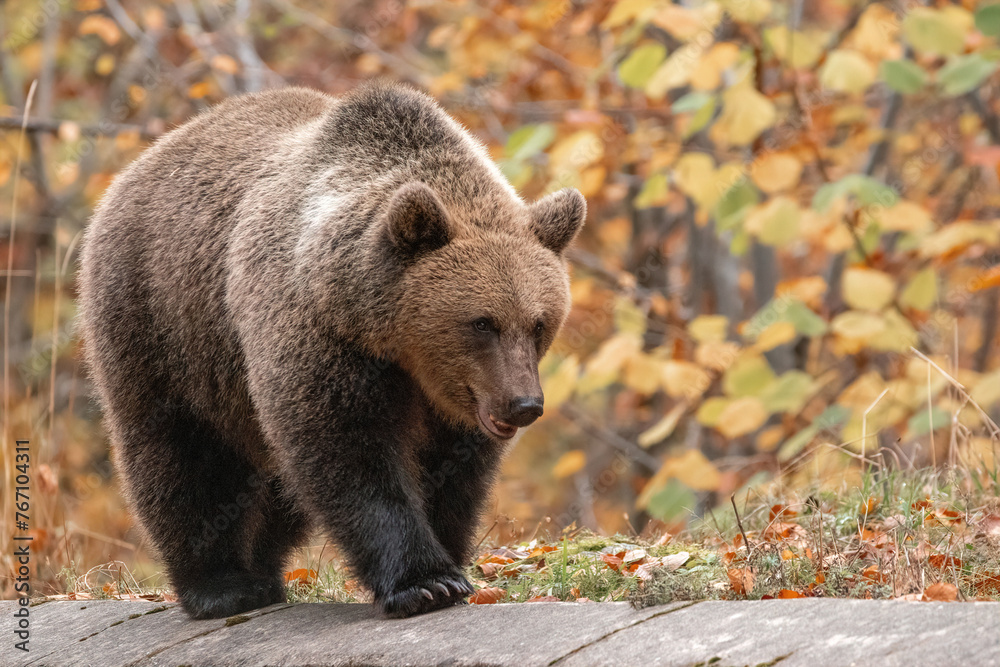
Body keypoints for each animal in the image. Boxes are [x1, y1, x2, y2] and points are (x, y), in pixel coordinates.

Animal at [77, 82, 585, 619]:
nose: (523, 404)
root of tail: (139, 164)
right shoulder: (317, 336)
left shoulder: (453, 399)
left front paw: (451, 562)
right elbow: (346, 448)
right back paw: (222, 586)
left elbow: (454, 470)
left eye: (539, 323)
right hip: (164, 323)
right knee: (179, 454)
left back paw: (264, 574)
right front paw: (425, 581)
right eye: (482, 322)